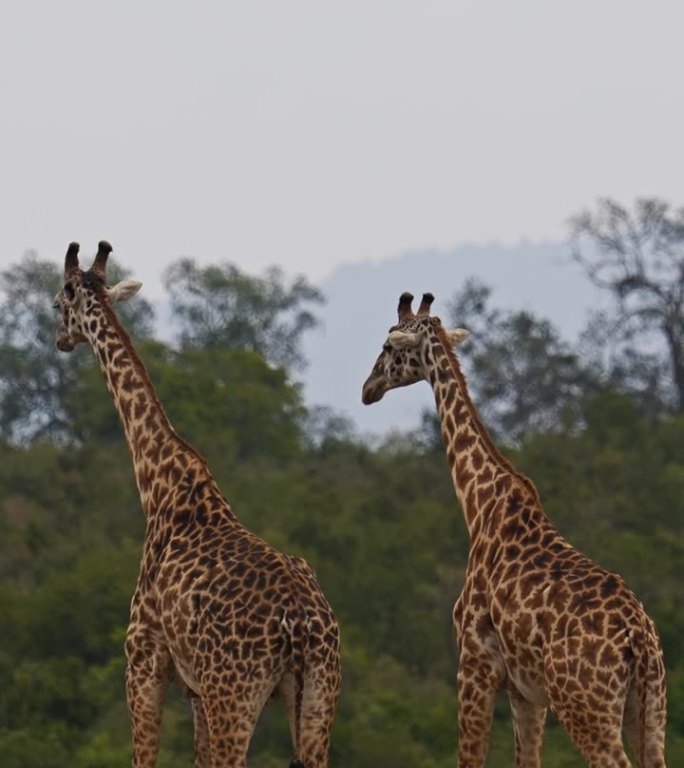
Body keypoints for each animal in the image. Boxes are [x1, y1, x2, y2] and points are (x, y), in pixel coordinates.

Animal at [53, 242, 342, 768]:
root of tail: (301, 628)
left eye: (60, 299)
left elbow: (143, 758)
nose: (61, 338)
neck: (160, 485)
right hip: (317, 694)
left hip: (235, 693)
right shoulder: (194, 690)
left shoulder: (143, 659)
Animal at [364, 292, 668, 768]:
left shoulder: (473, 664)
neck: (478, 504)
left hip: (587, 708)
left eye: (388, 346)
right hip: (651, 707)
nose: (368, 389)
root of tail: (639, 638)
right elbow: (528, 759)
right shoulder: (528, 691)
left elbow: (470, 759)